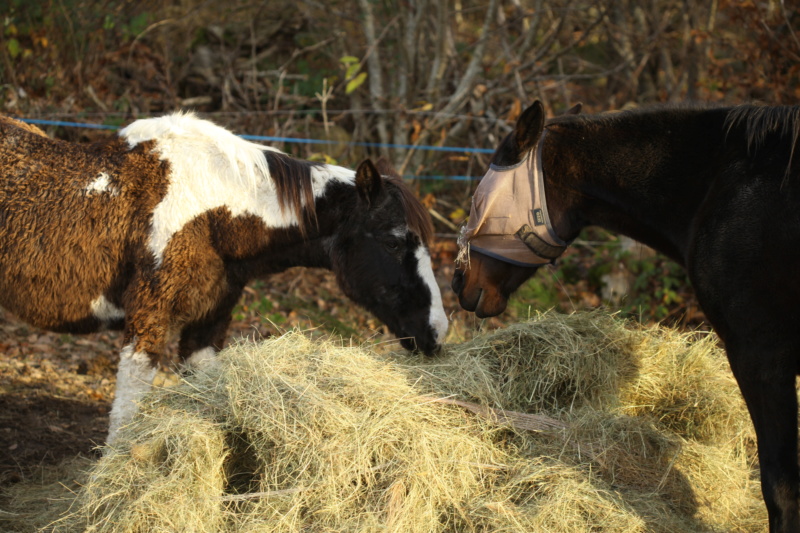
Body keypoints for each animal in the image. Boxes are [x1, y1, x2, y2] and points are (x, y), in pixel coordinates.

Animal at [0, 113, 450, 444]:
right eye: (393, 242)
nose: (437, 331)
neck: (216, 212)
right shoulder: (148, 320)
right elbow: (125, 418)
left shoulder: (207, 324)